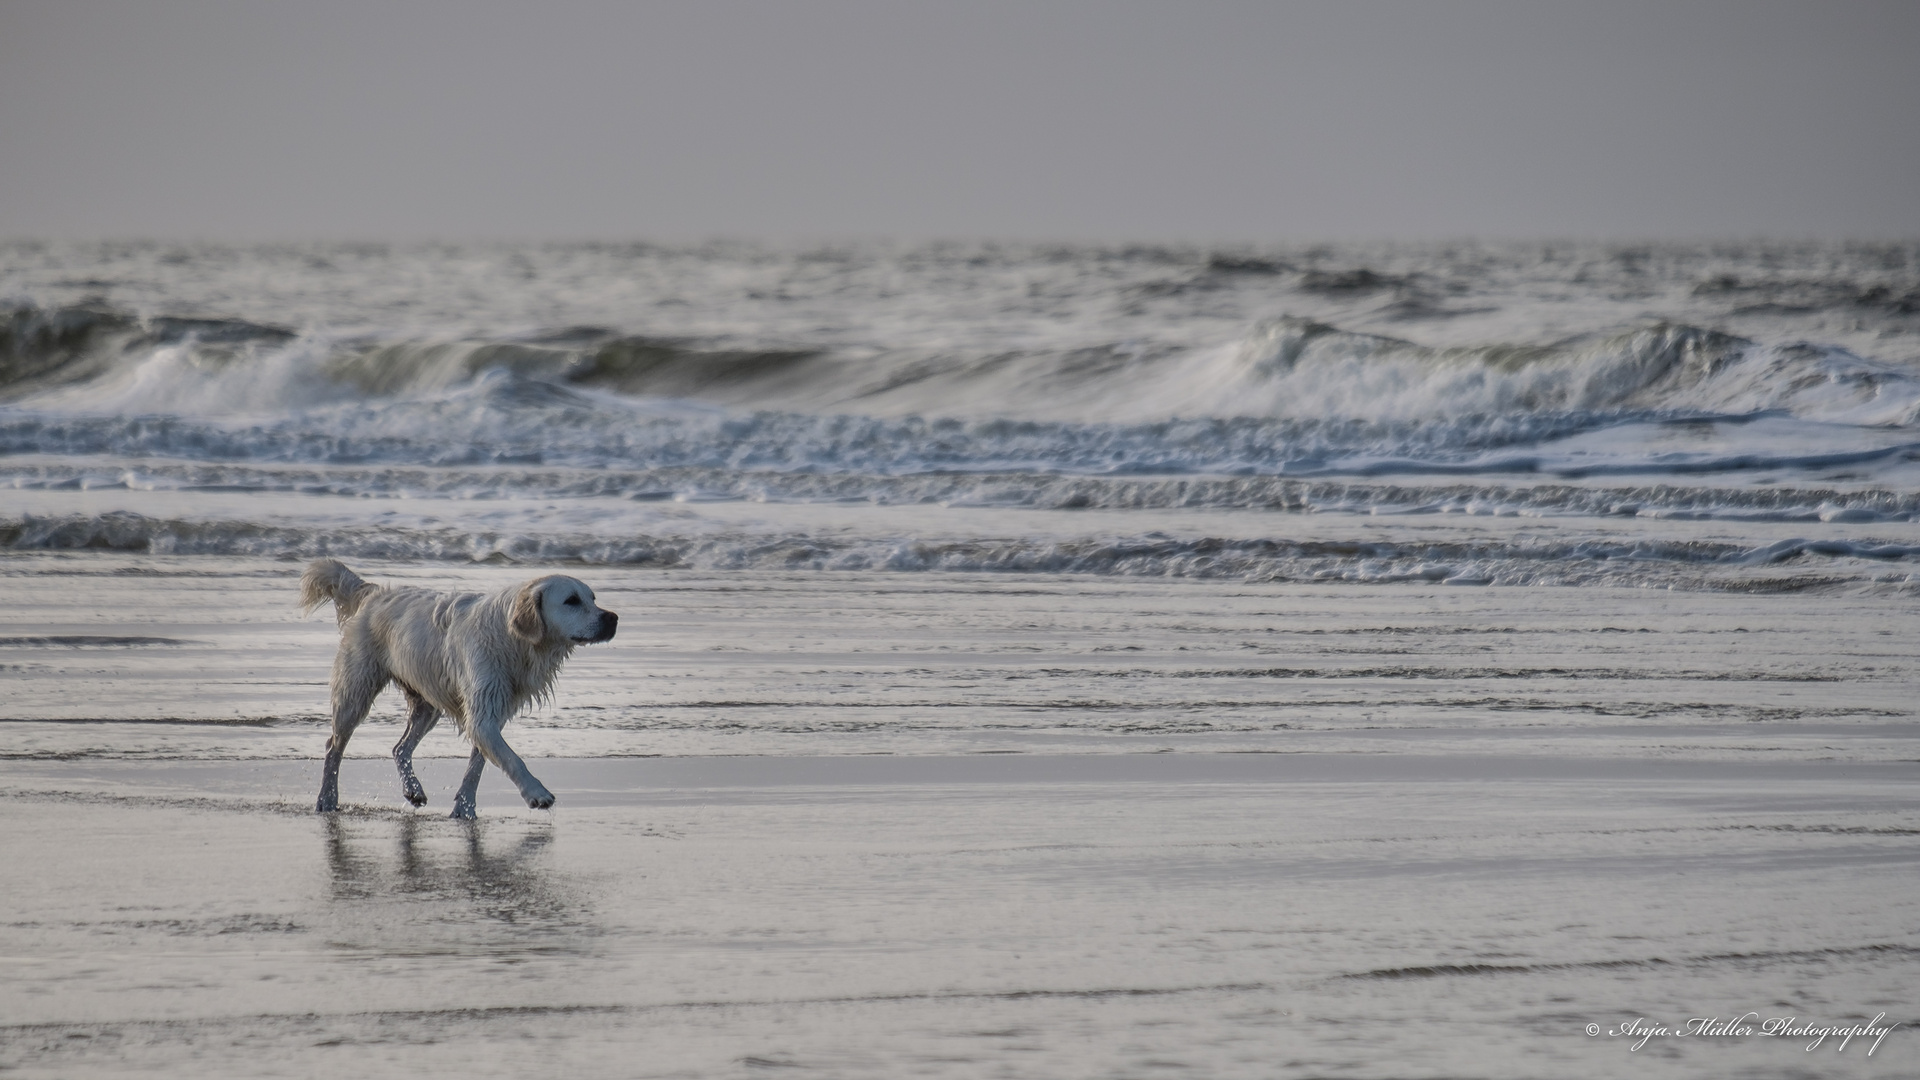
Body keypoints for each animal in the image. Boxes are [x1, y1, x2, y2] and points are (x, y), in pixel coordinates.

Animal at [299, 557, 618, 810]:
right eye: (571, 601)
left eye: (592, 598)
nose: (613, 617)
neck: (513, 641)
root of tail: (374, 592)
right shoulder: (483, 713)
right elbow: (512, 758)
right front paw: (536, 793)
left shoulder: (492, 710)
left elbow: (478, 764)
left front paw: (464, 807)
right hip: (356, 690)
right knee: (333, 747)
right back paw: (327, 799)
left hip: (427, 703)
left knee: (400, 747)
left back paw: (413, 790)